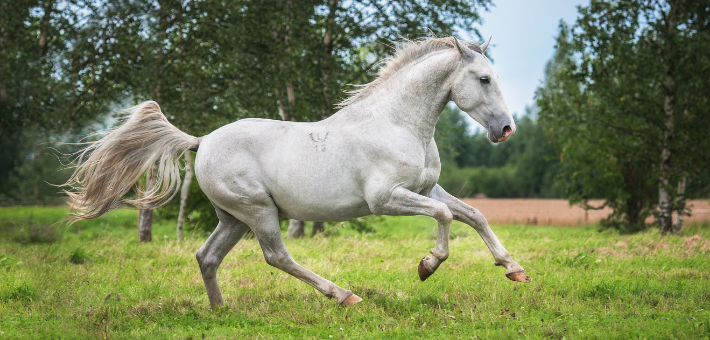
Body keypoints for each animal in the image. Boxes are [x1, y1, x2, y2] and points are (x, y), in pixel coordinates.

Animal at [67, 35, 532, 310]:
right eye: (484, 79)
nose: (506, 130)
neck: (399, 124)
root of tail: (201, 141)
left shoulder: (428, 187)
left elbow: (473, 214)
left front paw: (514, 270)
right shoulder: (387, 198)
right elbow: (446, 217)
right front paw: (427, 266)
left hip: (233, 218)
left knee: (207, 256)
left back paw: (220, 312)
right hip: (257, 212)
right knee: (277, 256)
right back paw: (343, 296)